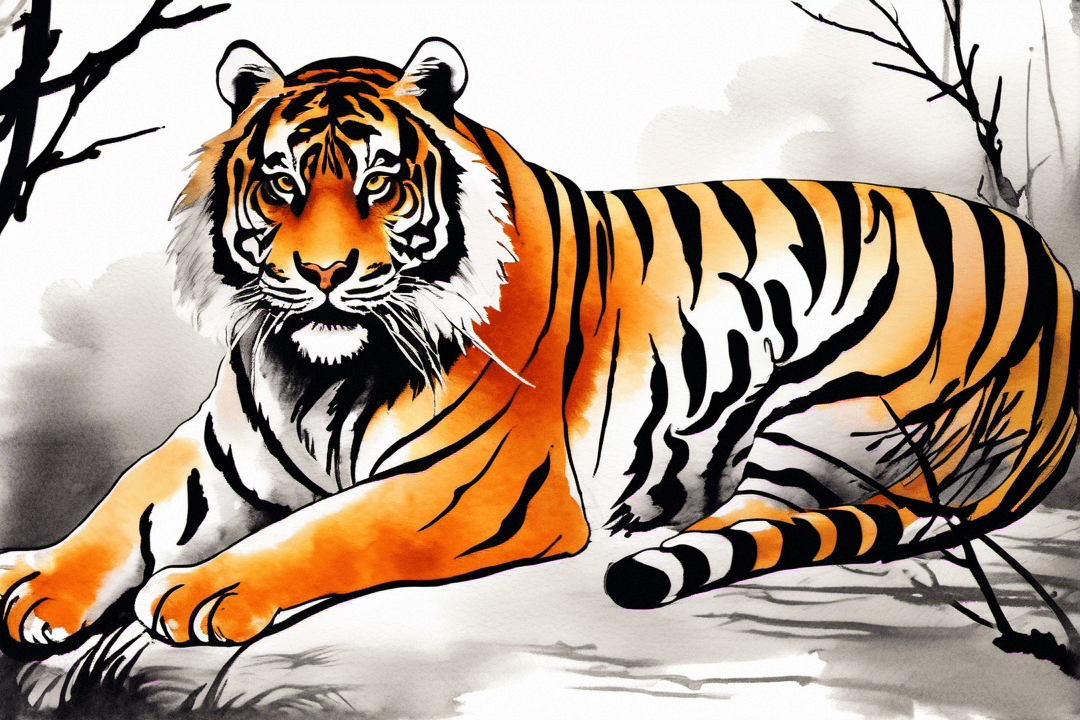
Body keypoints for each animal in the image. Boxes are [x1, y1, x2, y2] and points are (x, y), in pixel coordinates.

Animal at [0, 36, 1075, 650]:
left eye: (380, 181)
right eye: (282, 183)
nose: (324, 274)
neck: (318, 371)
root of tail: (1060, 289)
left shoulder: (470, 485)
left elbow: (328, 528)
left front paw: (204, 589)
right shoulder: (219, 452)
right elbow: (125, 503)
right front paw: (39, 584)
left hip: (832, 390)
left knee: (769, 516)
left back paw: (653, 531)